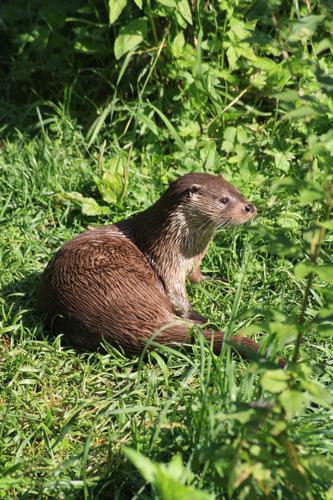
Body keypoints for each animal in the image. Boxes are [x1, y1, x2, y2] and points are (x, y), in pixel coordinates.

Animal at [38, 173, 256, 360]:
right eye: (224, 200)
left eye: (237, 190)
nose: (250, 207)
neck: (185, 250)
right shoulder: (166, 263)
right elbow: (178, 297)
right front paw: (197, 312)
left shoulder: (193, 262)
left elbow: (196, 276)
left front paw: (217, 281)